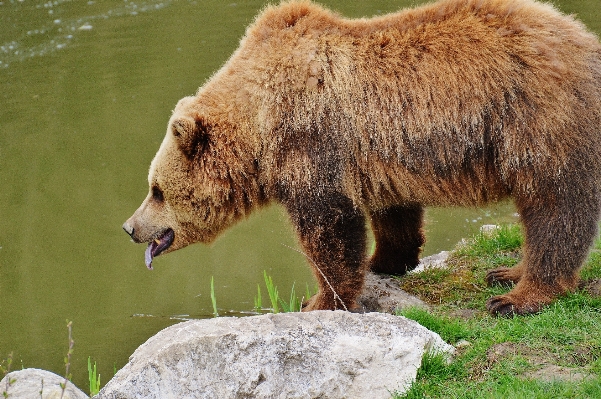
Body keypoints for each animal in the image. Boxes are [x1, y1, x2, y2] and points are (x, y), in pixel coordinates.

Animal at [123, 0, 600, 318]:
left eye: (156, 190)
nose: (130, 227)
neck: (258, 120)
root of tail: (586, 39)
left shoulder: (310, 142)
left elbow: (328, 230)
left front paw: (318, 300)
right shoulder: (379, 147)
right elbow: (393, 211)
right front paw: (385, 260)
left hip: (537, 119)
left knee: (554, 208)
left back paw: (518, 296)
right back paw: (506, 272)